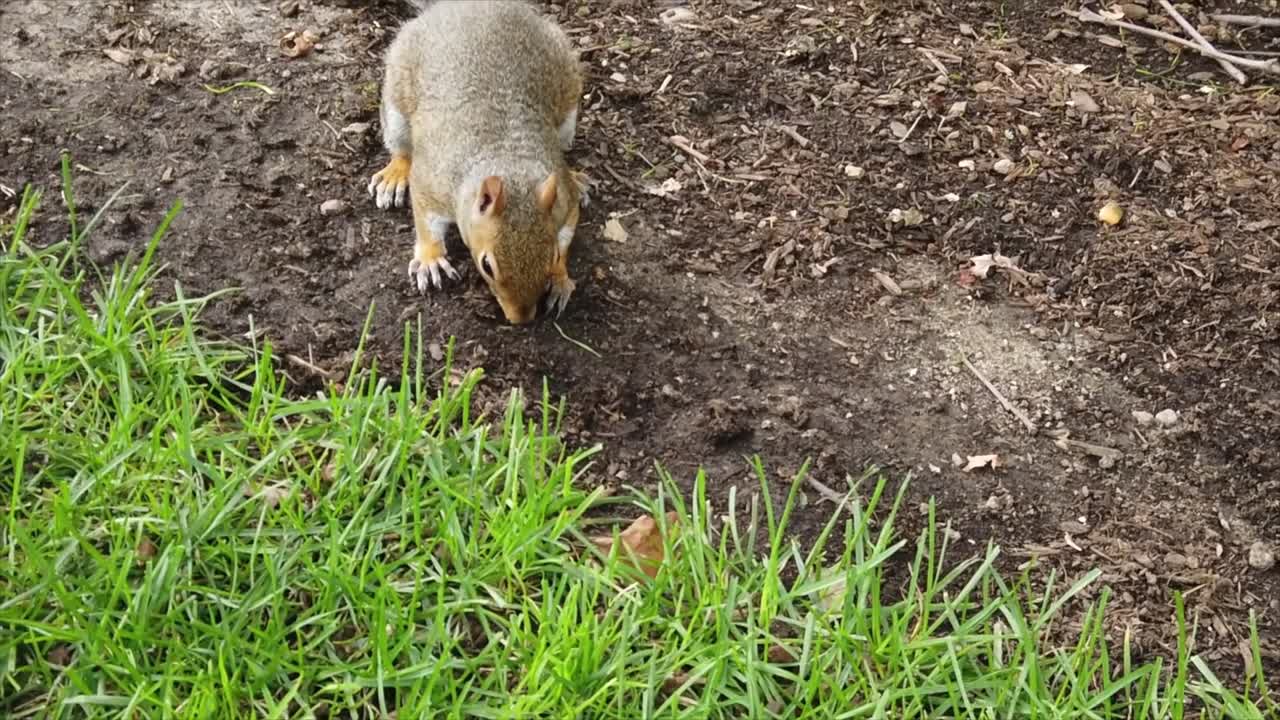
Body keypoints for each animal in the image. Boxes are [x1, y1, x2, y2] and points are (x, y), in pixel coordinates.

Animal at [367, 0, 588, 325]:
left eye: (551, 257)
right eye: (486, 266)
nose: (521, 319)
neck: (508, 165)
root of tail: (458, 5)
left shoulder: (564, 199)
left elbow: (567, 228)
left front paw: (560, 278)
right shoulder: (431, 184)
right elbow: (425, 219)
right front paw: (431, 258)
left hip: (568, 100)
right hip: (397, 96)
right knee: (402, 148)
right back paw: (395, 174)